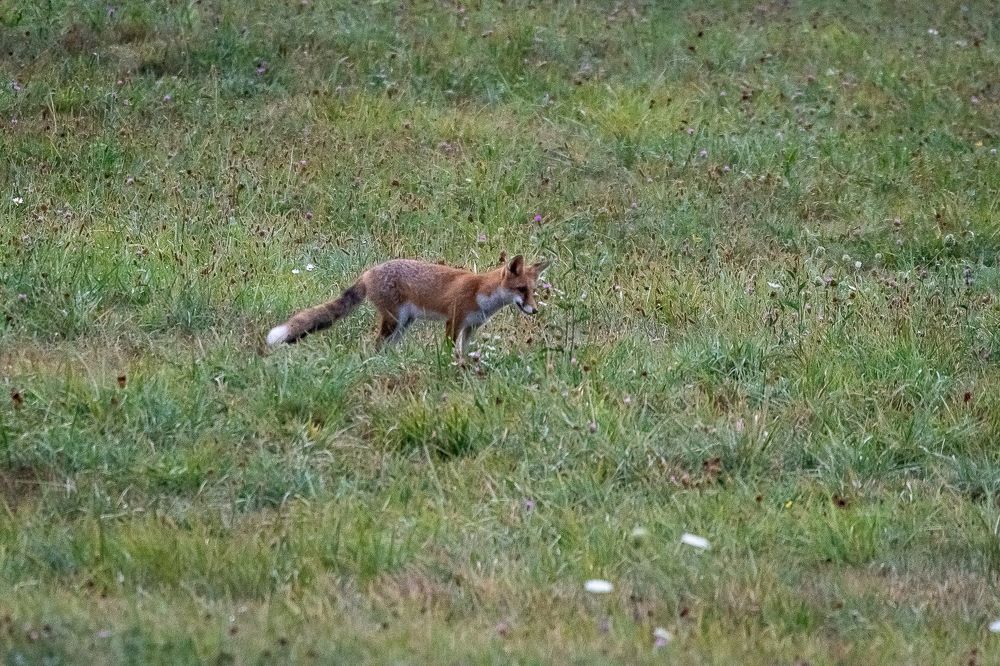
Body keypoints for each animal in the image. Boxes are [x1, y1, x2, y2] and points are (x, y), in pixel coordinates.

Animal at [265, 253, 550, 359]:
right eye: (521, 290)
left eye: (533, 291)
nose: (534, 310)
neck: (482, 293)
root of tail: (369, 272)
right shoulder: (455, 319)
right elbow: (449, 348)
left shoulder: (472, 327)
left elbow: (463, 350)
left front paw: (464, 364)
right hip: (394, 321)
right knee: (377, 345)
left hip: (403, 324)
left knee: (385, 347)